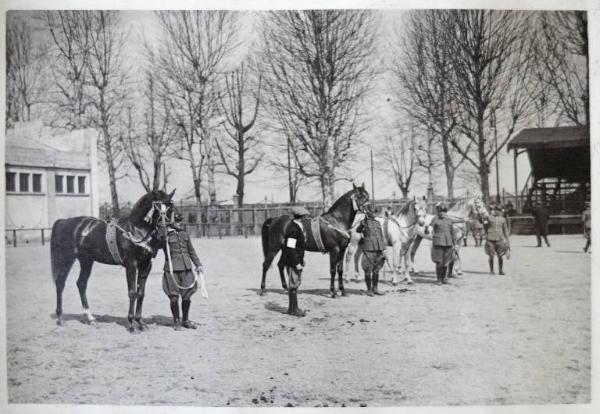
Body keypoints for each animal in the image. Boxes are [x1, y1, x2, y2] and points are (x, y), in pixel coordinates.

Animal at [50, 189, 175, 332]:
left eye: (171, 207)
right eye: (157, 207)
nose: (163, 233)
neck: (135, 228)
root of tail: (64, 221)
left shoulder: (146, 265)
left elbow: (141, 293)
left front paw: (141, 323)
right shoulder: (131, 265)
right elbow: (132, 293)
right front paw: (131, 324)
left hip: (86, 261)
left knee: (81, 283)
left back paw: (90, 318)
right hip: (67, 258)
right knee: (60, 283)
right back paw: (60, 318)